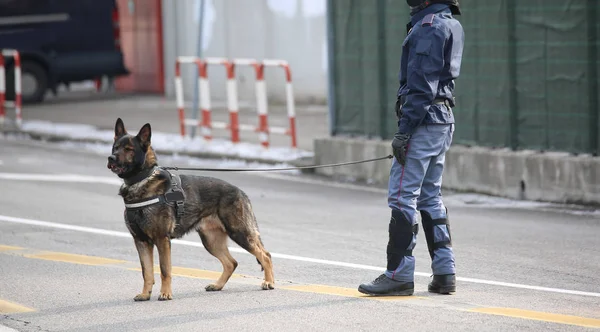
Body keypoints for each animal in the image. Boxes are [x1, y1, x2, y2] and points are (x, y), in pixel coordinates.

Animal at [106, 118, 276, 300]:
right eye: (115, 147)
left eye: (128, 149)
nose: (111, 158)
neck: (142, 180)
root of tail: (241, 192)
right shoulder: (141, 241)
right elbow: (147, 272)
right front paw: (145, 294)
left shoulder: (161, 239)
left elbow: (165, 270)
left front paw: (165, 293)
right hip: (211, 241)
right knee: (232, 263)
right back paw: (218, 285)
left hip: (239, 233)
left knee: (265, 255)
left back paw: (269, 282)